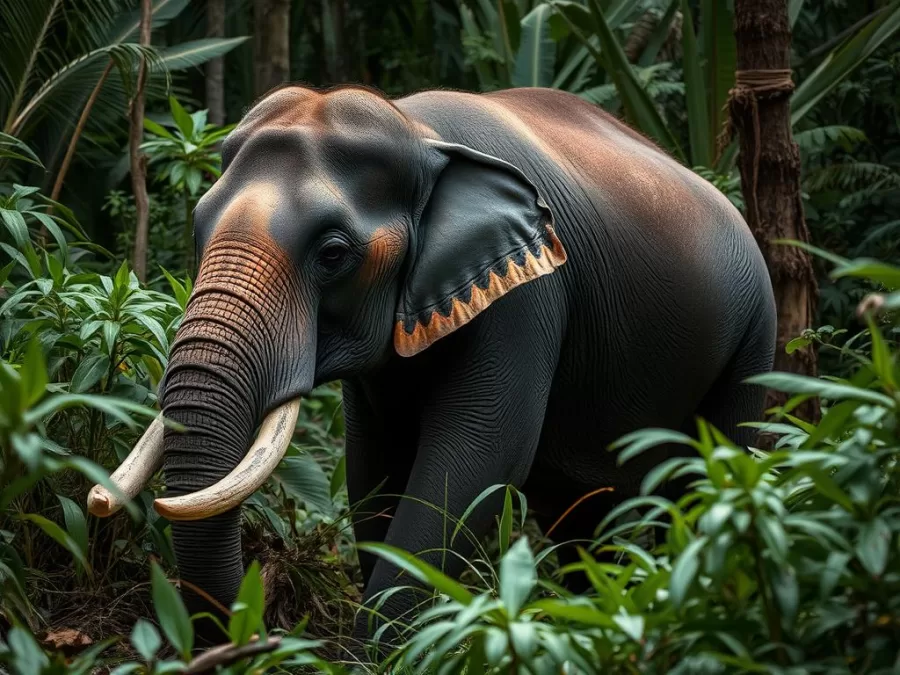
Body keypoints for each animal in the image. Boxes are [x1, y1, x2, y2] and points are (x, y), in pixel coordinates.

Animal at [87, 84, 776, 647]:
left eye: (333, 254)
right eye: (198, 229)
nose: (262, 631)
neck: (415, 128)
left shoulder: (531, 295)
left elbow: (475, 458)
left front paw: (377, 653)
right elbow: (374, 462)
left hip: (755, 331)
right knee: (585, 511)